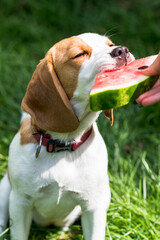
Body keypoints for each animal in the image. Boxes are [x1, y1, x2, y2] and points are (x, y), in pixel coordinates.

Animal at [0, 32, 134, 240]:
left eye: (110, 44)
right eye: (79, 55)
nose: (121, 50)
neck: (64, 144)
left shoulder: (93, 207)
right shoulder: (20, 203)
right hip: (5, 191)